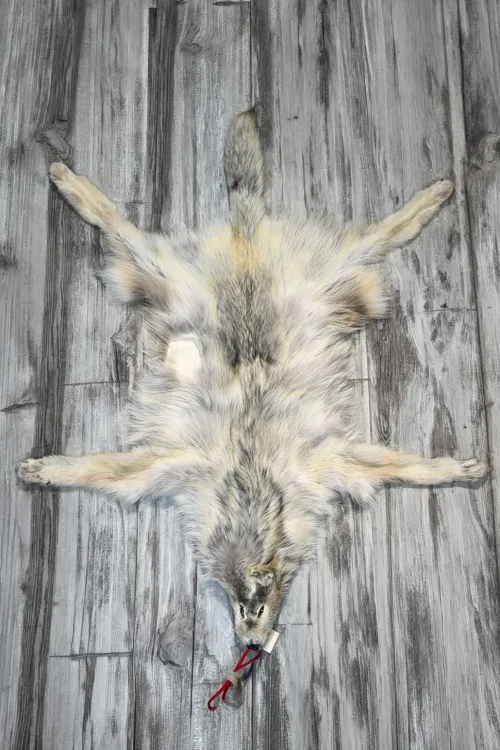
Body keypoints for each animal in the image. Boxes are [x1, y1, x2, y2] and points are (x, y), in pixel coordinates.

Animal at [17, 111, 488, 649]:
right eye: (236, 605)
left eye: (255, 607)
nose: (248, 645)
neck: (250, 478)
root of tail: (246, 242)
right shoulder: (176, 465)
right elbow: (102, 468)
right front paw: (51, 468)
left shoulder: (326, 461)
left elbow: (405, 465)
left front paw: (450, 468)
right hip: (166, 278)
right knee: (118, 225)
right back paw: (76, 187)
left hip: (328, 279)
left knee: (383, 234)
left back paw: (428, 199)